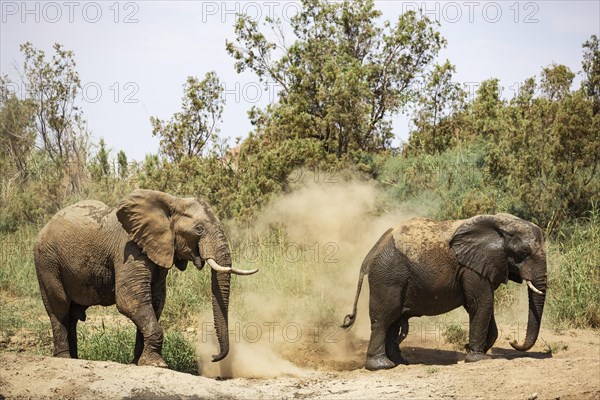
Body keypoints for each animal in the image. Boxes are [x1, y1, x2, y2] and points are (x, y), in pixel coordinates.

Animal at [34, 189, 256, 368]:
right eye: (199, 229)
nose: (213, 357)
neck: (170, 202)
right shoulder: (129, 250)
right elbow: (131, 300)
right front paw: (157, 365)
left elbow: (155, 301)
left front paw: (138, 363)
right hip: (46, 262)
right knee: (59, 307)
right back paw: (65, 360)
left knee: (71, 314)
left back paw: (76, 359)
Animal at [342, 214, 544, 370]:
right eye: (523, 253)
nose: (513, 342)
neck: (499, 223)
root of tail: (371, 252)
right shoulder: (471, 269)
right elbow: (481, 304)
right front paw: (477, 358)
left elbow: (484, 306)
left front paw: (473, 350)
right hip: (388, 276)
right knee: (384, 318)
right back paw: (382, 366)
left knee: (393, 321)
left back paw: (401, 362)